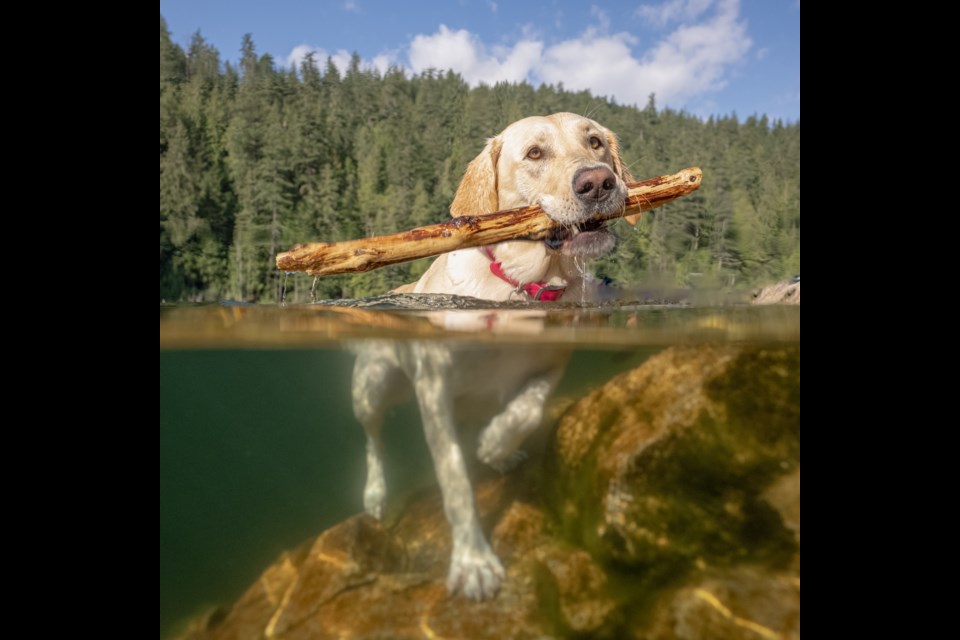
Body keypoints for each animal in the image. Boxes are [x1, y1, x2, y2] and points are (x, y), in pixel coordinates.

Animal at [352, 114, 632, 600]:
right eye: (535, 153)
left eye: (595, 142)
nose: (598, 182)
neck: (522, 286)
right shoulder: (434, 389)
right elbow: (455, 481)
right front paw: (473, 562)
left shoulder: (552, 360)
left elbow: (529, 406)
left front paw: (496, 443)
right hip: (371, 385)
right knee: (374, 439)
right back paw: (375, 493)